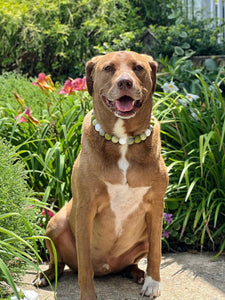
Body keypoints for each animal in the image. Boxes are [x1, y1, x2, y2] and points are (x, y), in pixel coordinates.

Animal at [33, 50, 167, 298]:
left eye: (138, 67)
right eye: (108, 68)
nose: (125, 82)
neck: (123, 141)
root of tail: (107, 267)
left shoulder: (156, 206)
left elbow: (156, 251)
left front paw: (152, 282)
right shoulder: (86, 207)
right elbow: (85, 266)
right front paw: (88, 295)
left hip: (142, 236)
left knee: (133, 260)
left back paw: (136, 273)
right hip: (55, 225)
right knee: (60, 262)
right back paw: (46, 275)